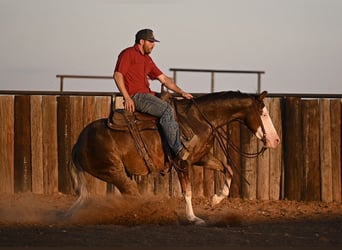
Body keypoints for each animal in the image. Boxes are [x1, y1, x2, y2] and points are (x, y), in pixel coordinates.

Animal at [65, 90, 280, 225]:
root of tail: (78, 143)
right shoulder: (182, 162)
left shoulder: (201, 157)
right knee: (131, 193)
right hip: (114, 172)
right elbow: (187, 191)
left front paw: (216, 199)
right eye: (263, 113)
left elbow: (228, 168)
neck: (198, 120)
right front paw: (194, 218)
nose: (275, 140)